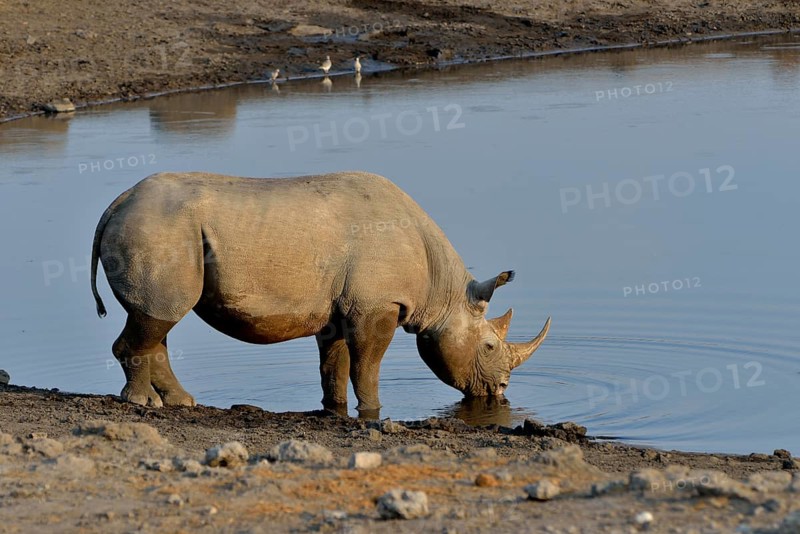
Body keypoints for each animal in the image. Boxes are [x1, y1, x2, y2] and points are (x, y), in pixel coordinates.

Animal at [90, 171, 551, 414]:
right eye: (489, 346)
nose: (500, 390)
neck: (443, 293)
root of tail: (115, 204)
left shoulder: (340, 310)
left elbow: (335, 363)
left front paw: (336, 409)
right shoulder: (376, 306)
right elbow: (366, 365)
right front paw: (373, 413)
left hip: (160, 230)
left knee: (159, 316)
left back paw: (180, 402)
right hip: (158, 231)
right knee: (159, 314)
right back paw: (143, 404)